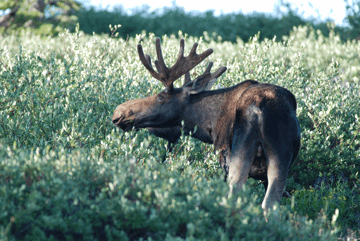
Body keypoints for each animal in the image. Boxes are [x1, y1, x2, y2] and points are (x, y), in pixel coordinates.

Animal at [112, 37, 300, 211]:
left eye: (160, 96)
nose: (118, 114)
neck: (209, 126)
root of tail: (260, 109)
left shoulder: (223, 155)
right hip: (281, 156)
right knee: (270, 205)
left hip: (239, 154)